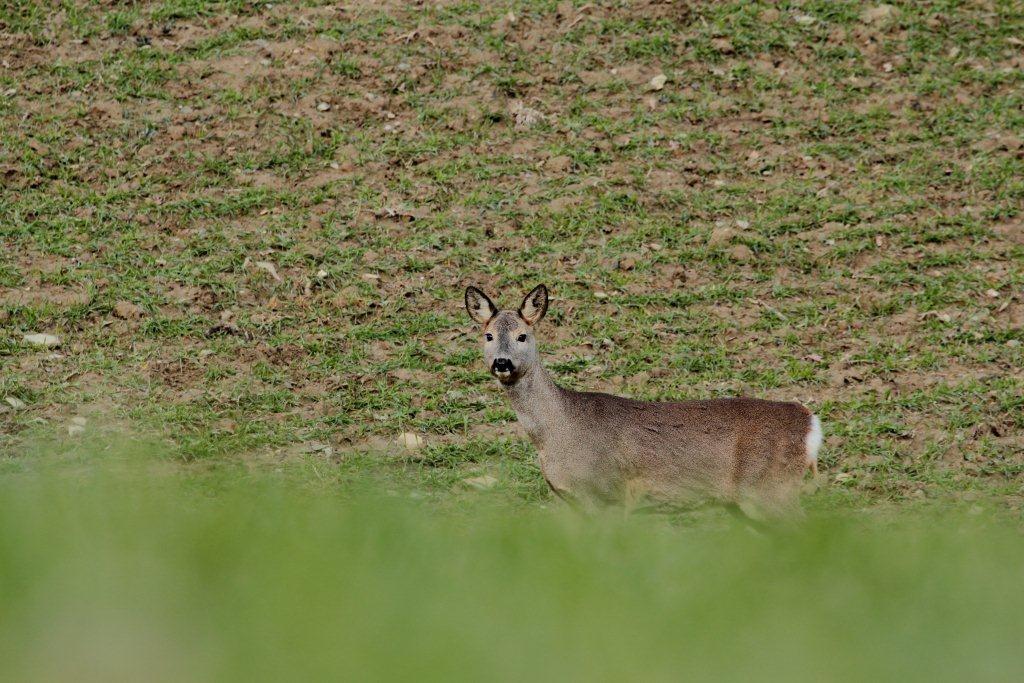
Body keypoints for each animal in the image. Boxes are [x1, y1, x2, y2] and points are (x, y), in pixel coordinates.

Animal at [464, 282, 823, 524]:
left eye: (523, 335)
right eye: (488, 336)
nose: (502, 362)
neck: (558, 433)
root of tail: (810, 421)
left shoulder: (609, 494)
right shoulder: (570, 502)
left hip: (769, 489)